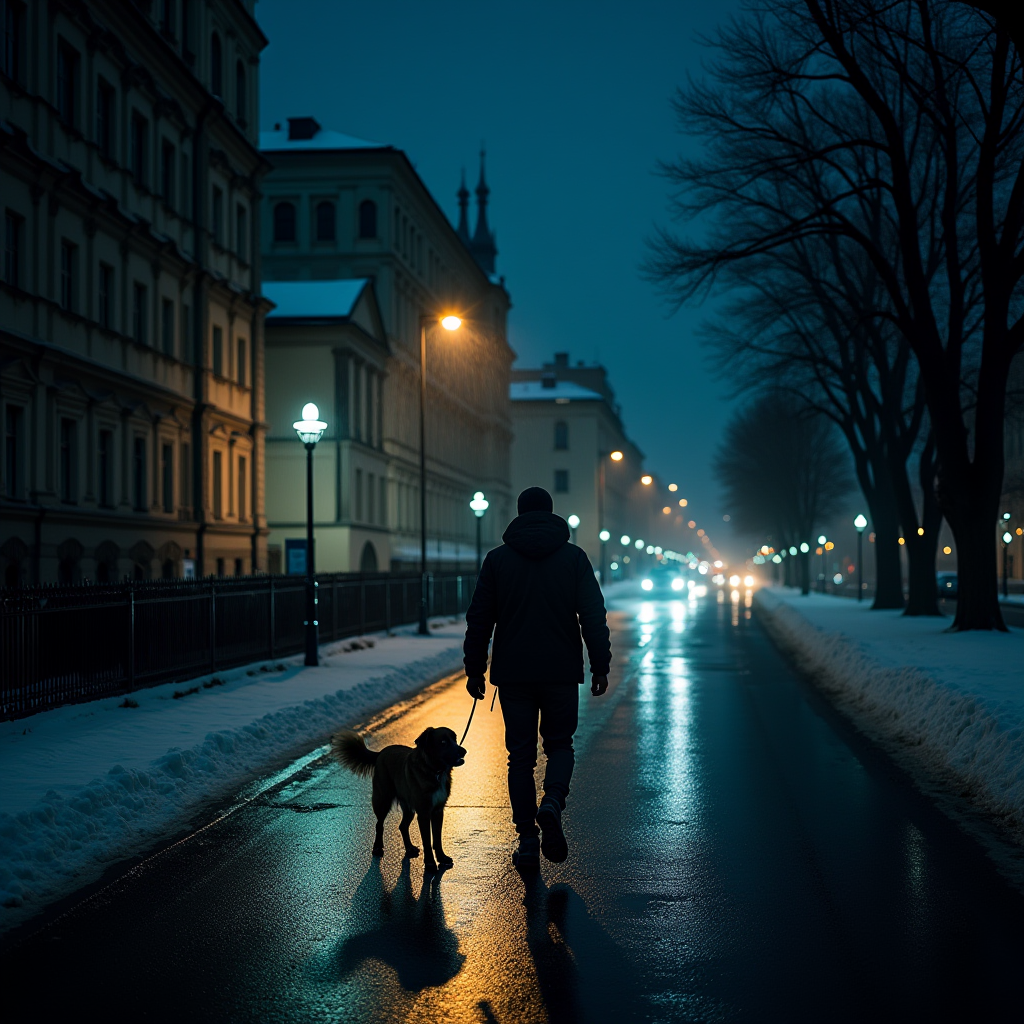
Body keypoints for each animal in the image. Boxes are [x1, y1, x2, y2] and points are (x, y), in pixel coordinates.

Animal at [331, 729, 468, 872]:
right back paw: (377, 848)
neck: (434, 770)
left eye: (455, 739)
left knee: (402, 826)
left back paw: (409, 849)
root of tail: (381, 753)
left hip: (408, 808)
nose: (463, 751)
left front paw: (441, 858)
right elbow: (427, 841)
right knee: (379, 824)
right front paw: (430, 864)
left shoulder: (437, 811)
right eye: (443, 742)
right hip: (382, 801)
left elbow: (437, 839)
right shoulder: (424, 814)